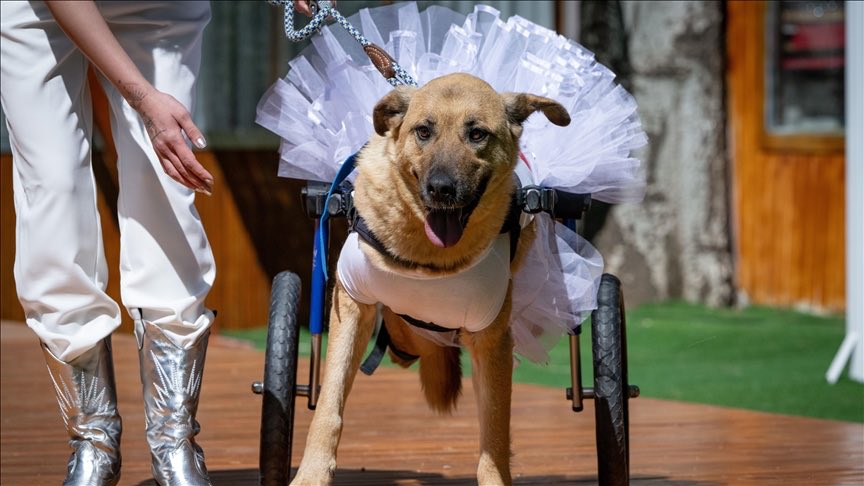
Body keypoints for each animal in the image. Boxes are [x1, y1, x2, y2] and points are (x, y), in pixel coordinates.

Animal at [290, 72, 572, 486]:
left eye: (477, 134)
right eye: (423, 131)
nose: (441, 189)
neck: (428, 260)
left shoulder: (491, 338)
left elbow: (494, 430)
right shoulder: (352, 306)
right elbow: (329, 403)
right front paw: (311, 475)